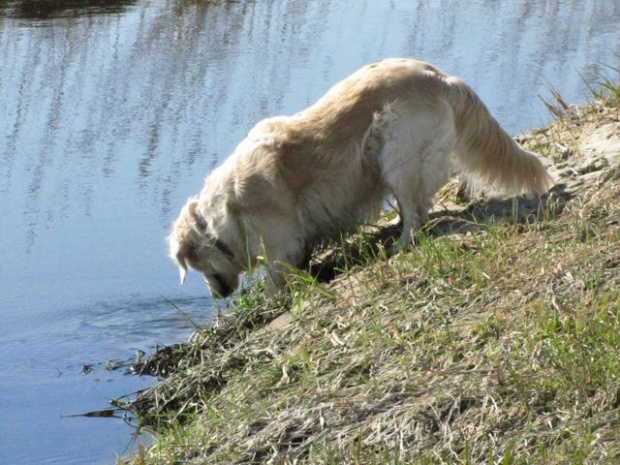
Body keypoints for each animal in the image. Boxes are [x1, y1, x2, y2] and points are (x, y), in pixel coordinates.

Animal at [166, 59, 552, 298]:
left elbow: (277, 276)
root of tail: (441, 78)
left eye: (196, 266)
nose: (217, 295)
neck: (218, 220)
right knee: (418, 206)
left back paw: (400, 243)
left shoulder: (278, 242)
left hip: (397, 154)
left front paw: (272, 300)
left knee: (415, 212)